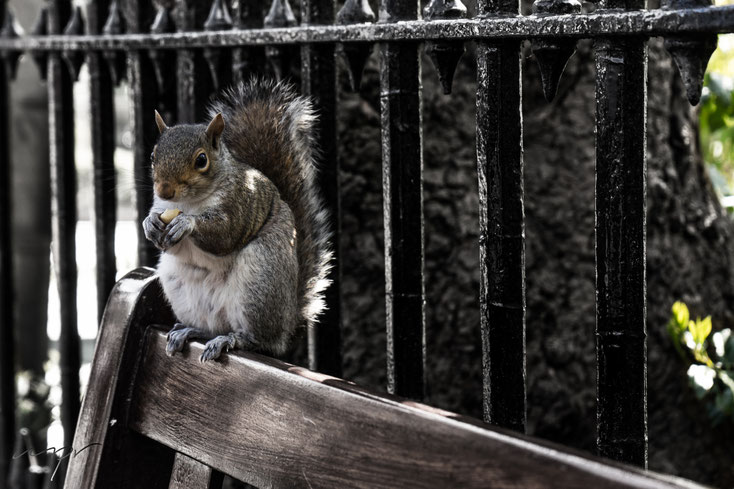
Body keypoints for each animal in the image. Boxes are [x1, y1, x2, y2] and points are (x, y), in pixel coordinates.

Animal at [142, 79, 331, 362]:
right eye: (154, 156)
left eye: (201, 160)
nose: (164, 190)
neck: (189, 203)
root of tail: (287, 325)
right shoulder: (163, 207)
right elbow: (166, 242)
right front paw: (150, 224)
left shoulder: (241, 203)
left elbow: (226, 234)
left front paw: (188, 224)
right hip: (180, 288)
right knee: (212, 327)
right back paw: (190, 331)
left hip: (260, 281)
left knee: (259, 340)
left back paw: (232, 339)